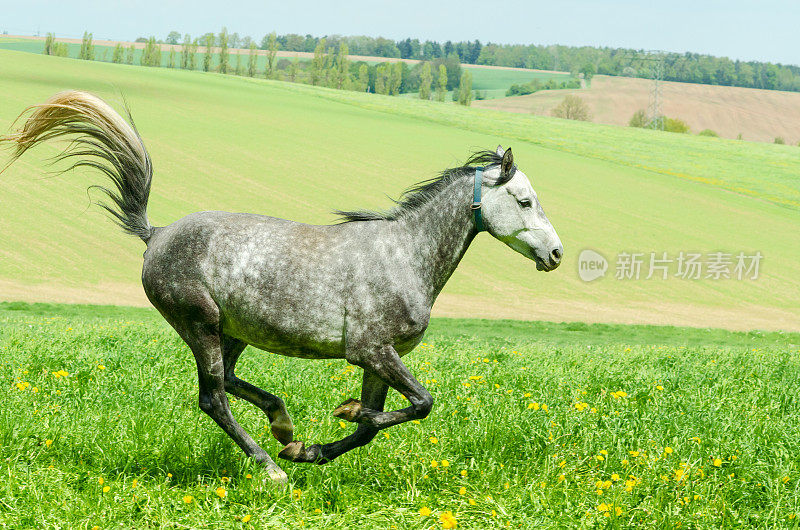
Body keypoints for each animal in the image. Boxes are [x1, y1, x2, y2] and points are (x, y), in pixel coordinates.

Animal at [1, 92, 564, 482]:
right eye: (523, 201)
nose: (556, 255)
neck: (404, 255)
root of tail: (155, 233)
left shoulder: (378, 359)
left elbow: (371, 427)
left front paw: (313, 445)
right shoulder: (372, 350)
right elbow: (420, 404)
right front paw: (332, 422)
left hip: (232, 331)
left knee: (228, 383)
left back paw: (283, 426)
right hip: (200, 323)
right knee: (213, 398)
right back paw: (270, 466)